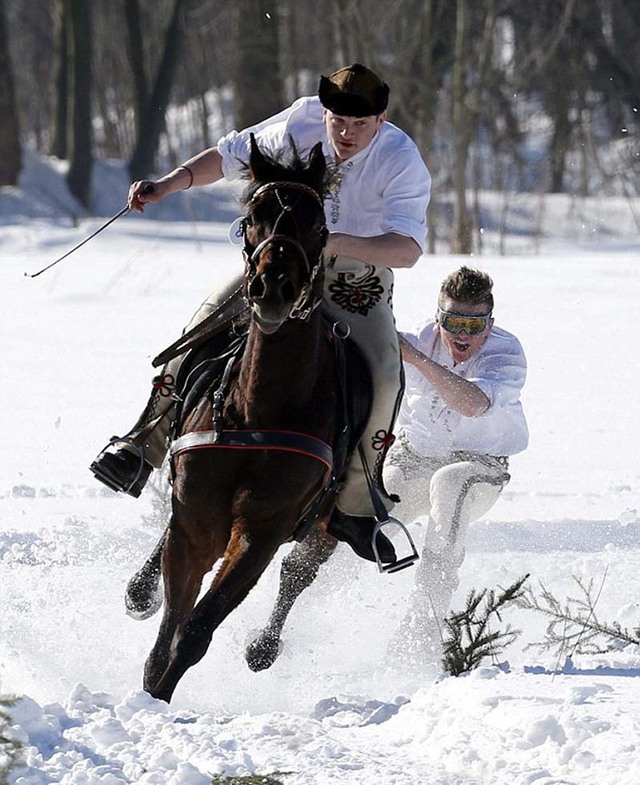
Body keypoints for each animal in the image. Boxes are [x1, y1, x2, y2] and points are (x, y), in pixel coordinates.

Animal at [140, 132, 350, 700]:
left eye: (319, 223)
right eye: (254, 215)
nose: (273, 286)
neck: (255, 411)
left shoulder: (262, 529)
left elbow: (195, 629)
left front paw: (159, 698)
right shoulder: (195, 519)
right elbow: (172, 619)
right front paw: (147, 693)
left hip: (330, 523)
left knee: (297, 575)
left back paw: (263, 648)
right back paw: (139, 588)